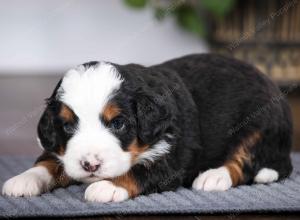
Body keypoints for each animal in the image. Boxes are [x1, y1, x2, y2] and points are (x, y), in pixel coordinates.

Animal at [1, 54, 292, 202]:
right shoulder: (62, 151)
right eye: (67, 126)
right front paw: (24, 178)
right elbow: (49, 161)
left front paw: (107, 187)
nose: (90, 165)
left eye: (118, 123)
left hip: (260, 123)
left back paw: (214, 177)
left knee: (245, 160)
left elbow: (141, 170)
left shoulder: (172, 158)